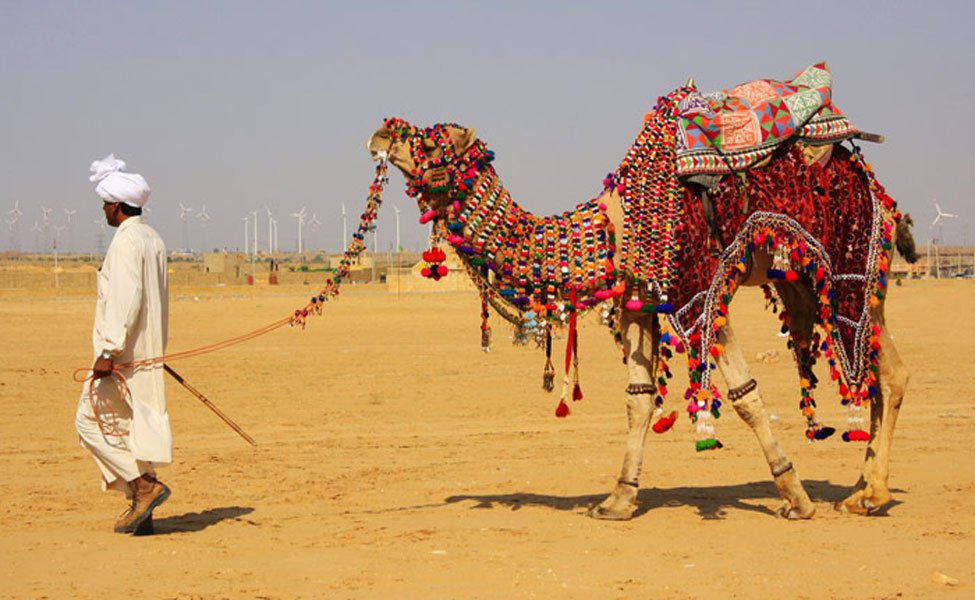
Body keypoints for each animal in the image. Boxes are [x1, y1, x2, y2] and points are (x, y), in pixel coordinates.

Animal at [365, 65, 916, 520]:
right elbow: (639, 399)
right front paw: (618, 499)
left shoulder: (701, 292)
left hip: (854, 272)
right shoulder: (638, 303)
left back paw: (870, 494)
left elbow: (744, 396)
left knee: (888, 373)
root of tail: (887, 203)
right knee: (875, 371)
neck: (611, 227)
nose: (381, 131)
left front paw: (796, 499)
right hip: (806, 282)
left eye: (433, 141)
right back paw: (862, 490)